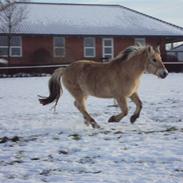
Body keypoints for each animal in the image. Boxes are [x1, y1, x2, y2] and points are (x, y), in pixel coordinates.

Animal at [39, 43, 168, 128]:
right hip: (78, 93)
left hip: (84, 94)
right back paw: (94, 123)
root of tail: (65, 69)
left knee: (79, 106)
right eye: (154, 59)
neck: (127, 72)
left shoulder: (132, 93)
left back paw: (88, 122)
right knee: (80, 106)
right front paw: (112, 119)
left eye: (160, 58)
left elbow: (140, 104)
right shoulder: (120, 96)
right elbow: (125, 110)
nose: (165, 73)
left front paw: (133, 118)